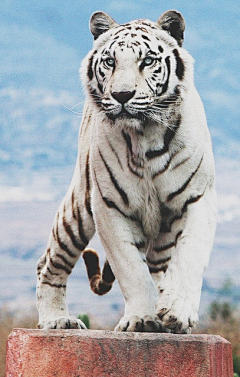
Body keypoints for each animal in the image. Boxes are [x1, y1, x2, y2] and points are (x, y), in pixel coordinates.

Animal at [36, 9, 218, 332]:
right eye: (110, 61)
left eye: (148, 61)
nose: (122, 95)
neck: (146, 136)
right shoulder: (109, 206)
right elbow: (131, 269)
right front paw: (142, 318)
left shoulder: (197, 199)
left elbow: (189, 258)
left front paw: (177, 312)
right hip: (77, 210)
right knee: (48, 262)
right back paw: (57, 320)